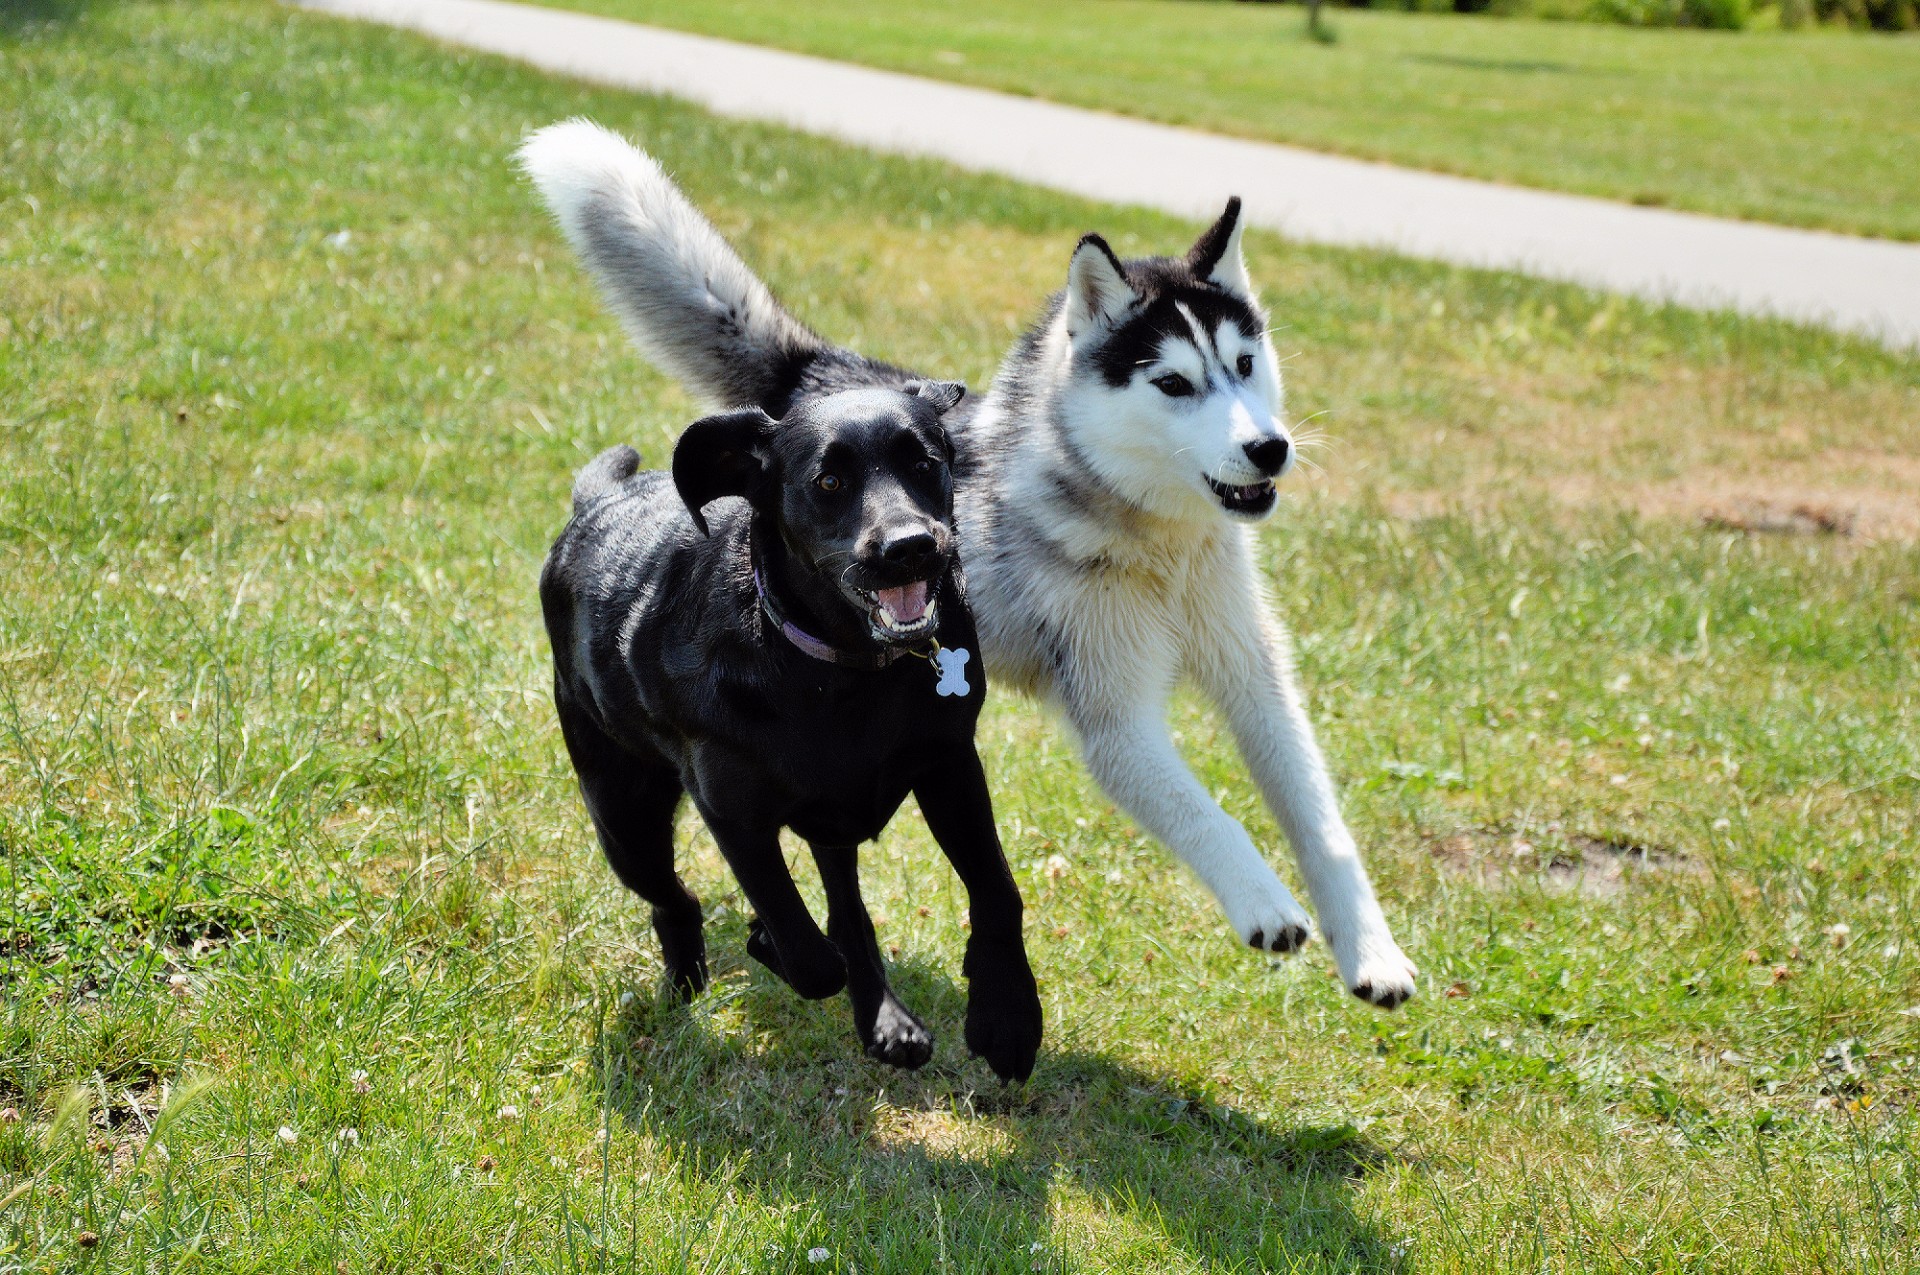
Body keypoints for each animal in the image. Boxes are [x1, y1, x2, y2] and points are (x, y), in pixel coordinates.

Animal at [541, 384, 1044, 1082]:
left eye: (924, 463)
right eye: (829, 482)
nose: (912, 547)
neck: (844, 674)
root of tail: (594, 504)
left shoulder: (950, 766)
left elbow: (997, 892)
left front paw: (1007, 1018)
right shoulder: (735, 819)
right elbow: (807, 956)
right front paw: (766, 941)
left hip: (830, 819)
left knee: (846, 908)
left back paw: (886, 1021)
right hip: (624, 821)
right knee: (676, 902)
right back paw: (687, 982)